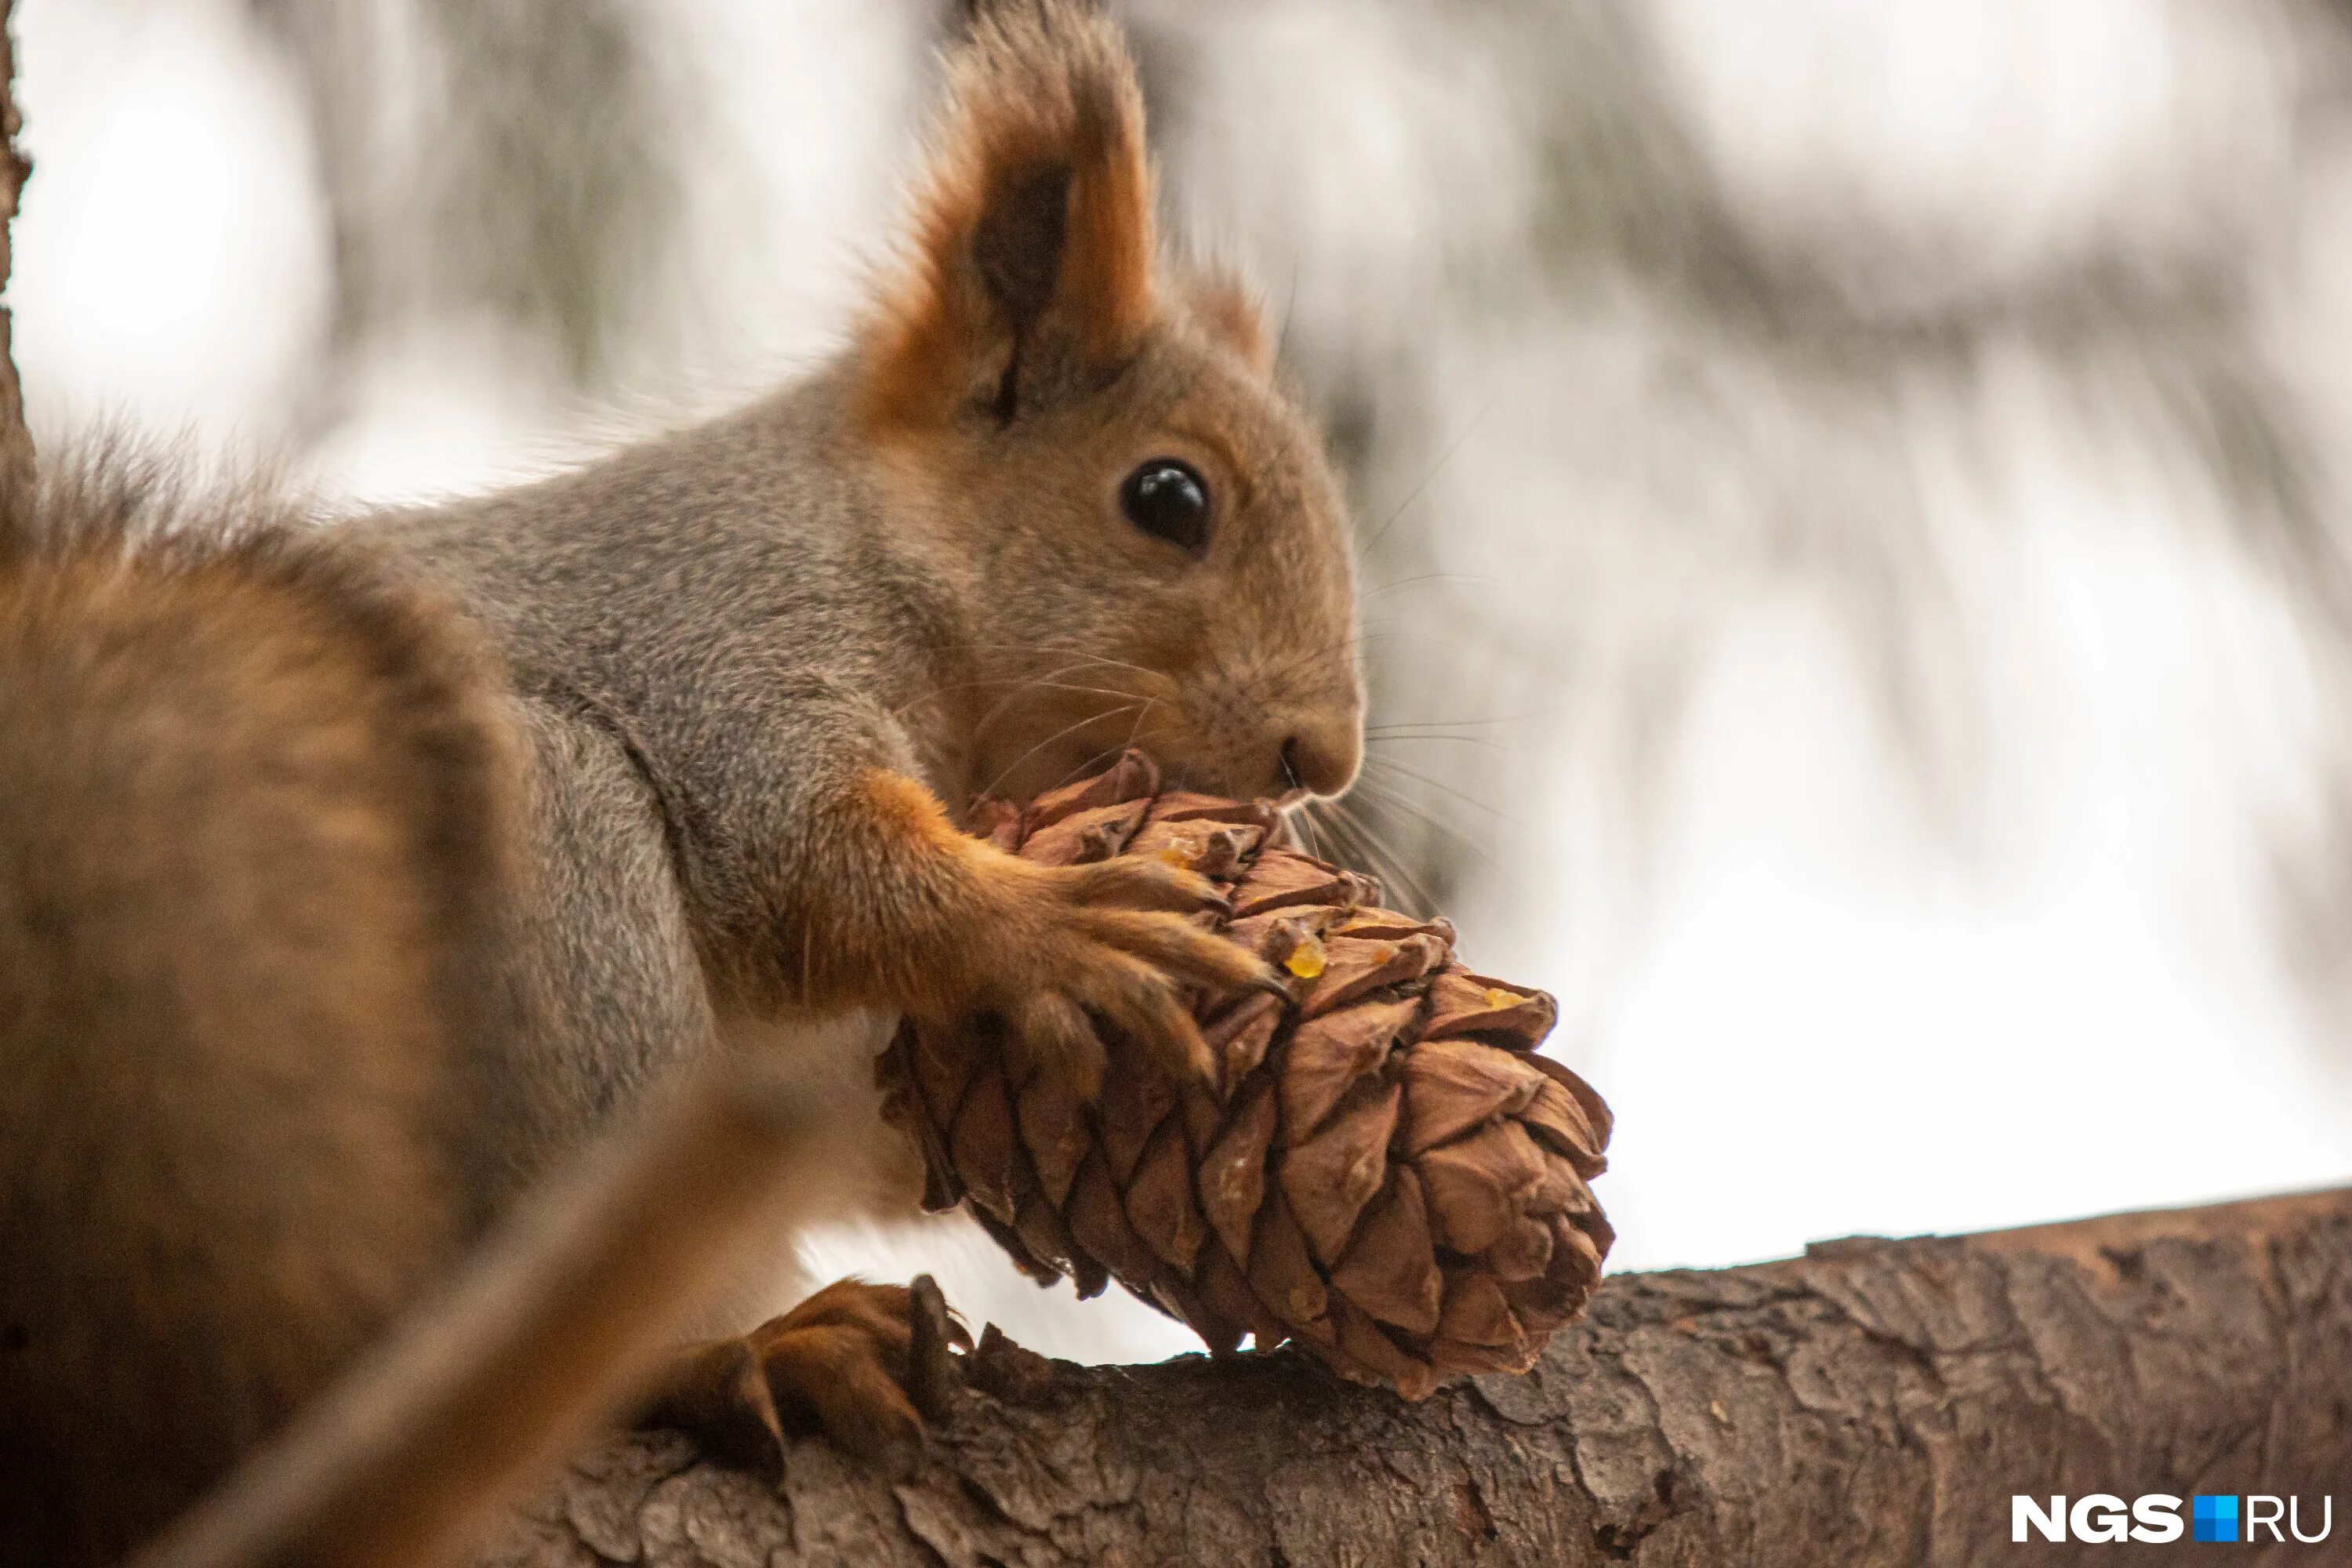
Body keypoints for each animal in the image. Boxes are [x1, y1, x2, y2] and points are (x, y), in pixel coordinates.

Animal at [0, 5, 1364, 1561]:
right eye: (1167, 499)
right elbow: (811, 854)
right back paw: (739, 1351)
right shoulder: (722, 634)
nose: (1324, 756)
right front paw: (1059, 926)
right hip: (556, 863)